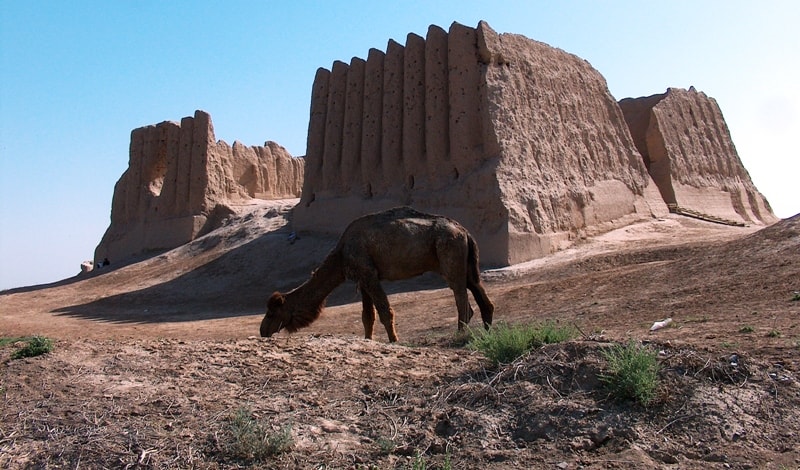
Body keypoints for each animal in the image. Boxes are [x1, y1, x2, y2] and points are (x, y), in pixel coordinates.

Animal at [260, 206, 494, 342]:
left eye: (271, 313)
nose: (263, 331)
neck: (341, 255)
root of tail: (465, 231)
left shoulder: (369, 273)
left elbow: (384, 311)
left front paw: (394, 341)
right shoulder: (362, 279)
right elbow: (367, 316)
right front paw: (369, 340)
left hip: (450, 254)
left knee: (461, 297)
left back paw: (461, 335)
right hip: (467, 263)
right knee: (479, 292)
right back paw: (487, 331)